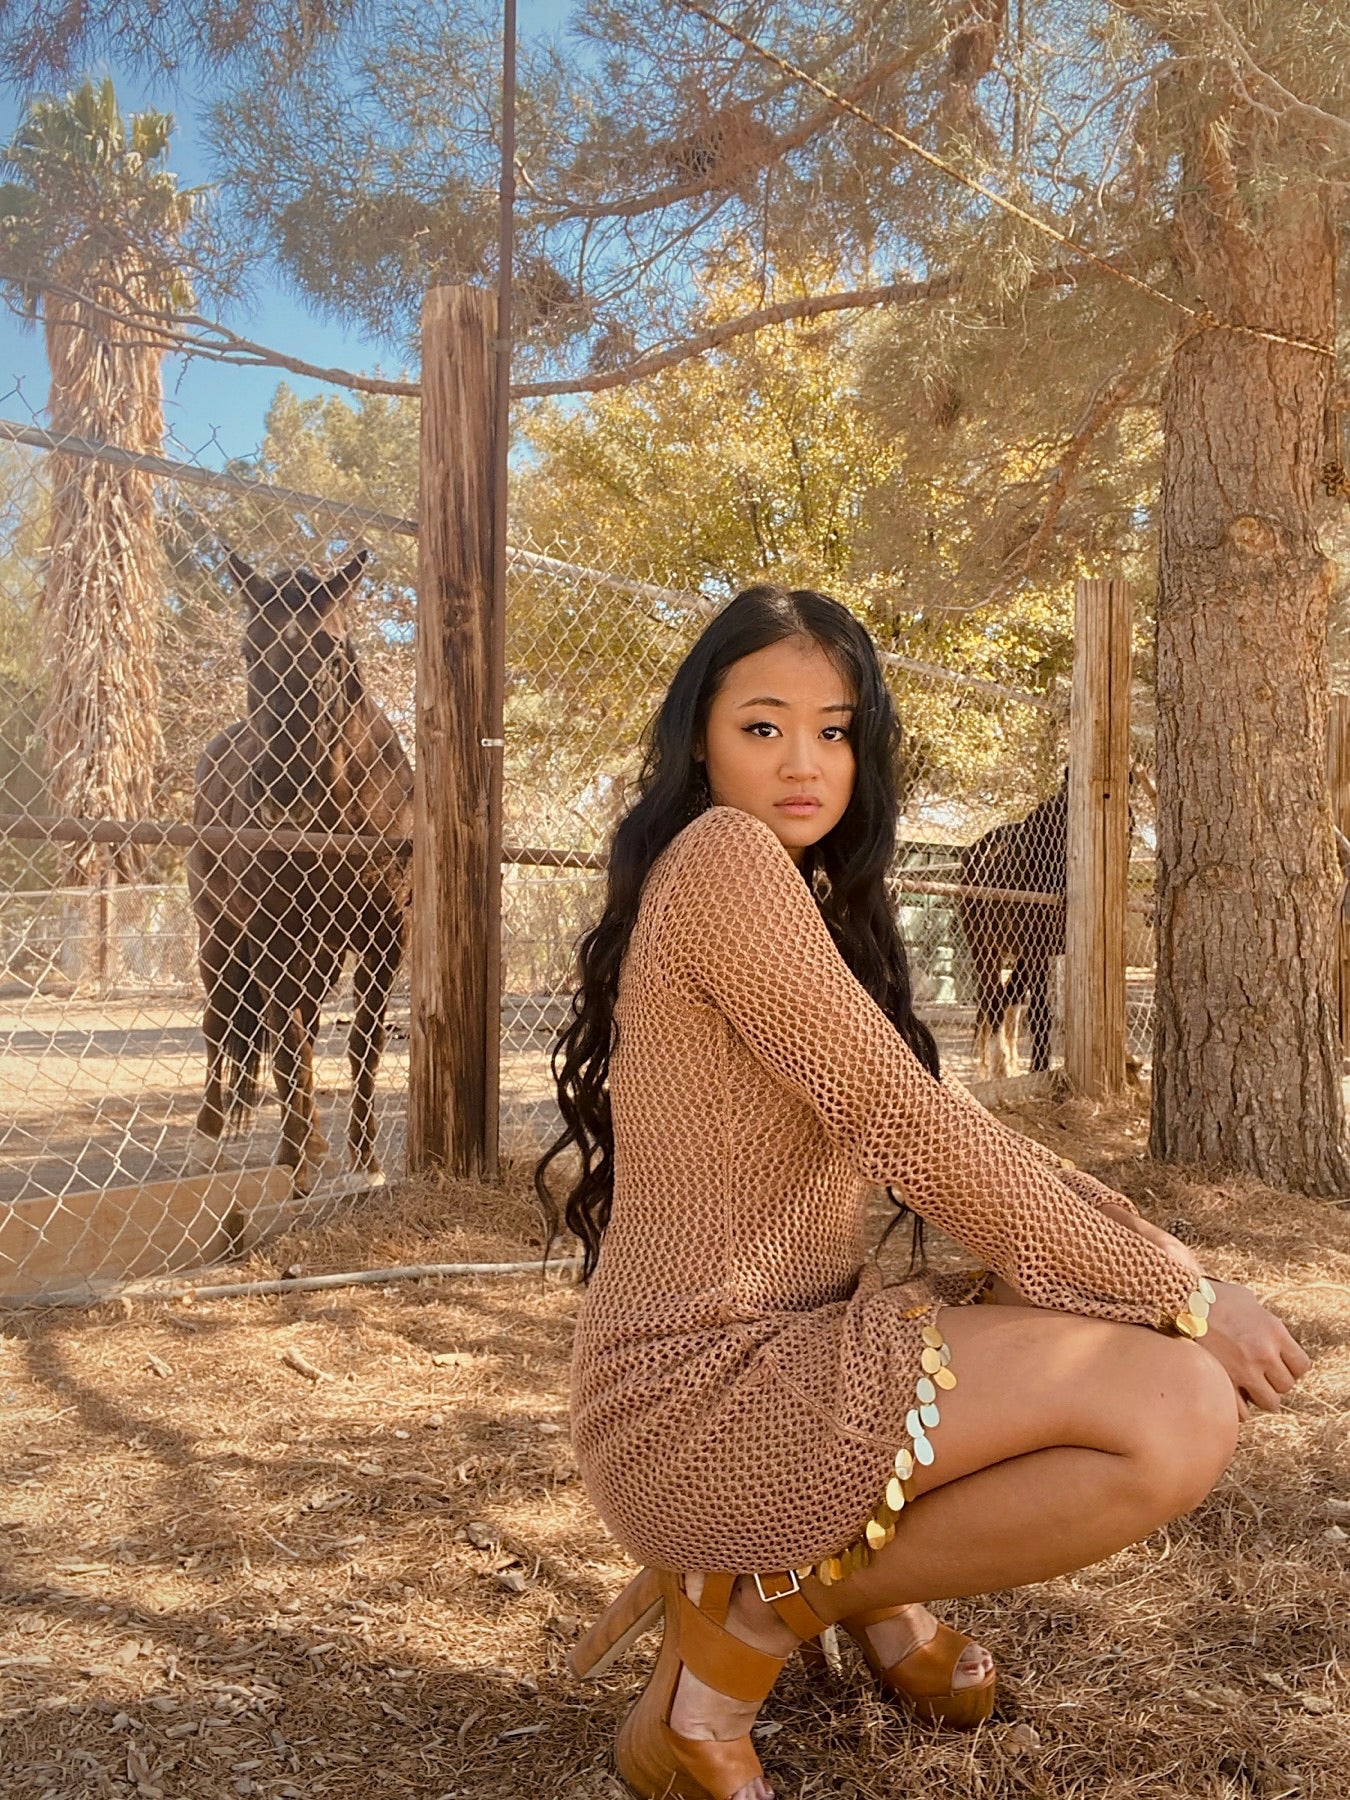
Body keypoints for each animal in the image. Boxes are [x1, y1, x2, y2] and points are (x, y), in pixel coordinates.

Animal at [188, 554, 415, 1188]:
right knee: (221, 1023)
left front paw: (365, 1161)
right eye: (249, 650)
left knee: (301, 1028)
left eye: (332, 651)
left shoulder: (386, 936)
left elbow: (363, 1043)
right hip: (221, 937)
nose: (283, 798)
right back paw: (212, 1137)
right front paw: (299, 1154)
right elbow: (287, 1042)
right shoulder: (275, 935)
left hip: (321, 953)